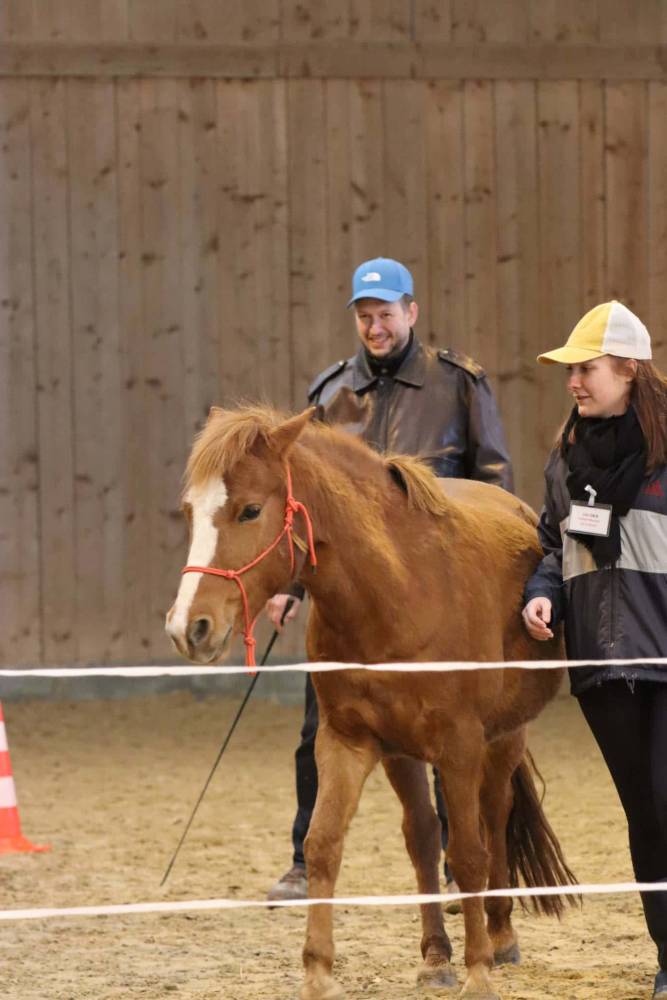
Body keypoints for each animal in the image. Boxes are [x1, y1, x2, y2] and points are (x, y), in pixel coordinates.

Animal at [166, 406, 576, 1000]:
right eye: (190, 512)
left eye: (249, 510)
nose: (187, 627)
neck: (398, 590)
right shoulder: (349, 742)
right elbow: (323, 844)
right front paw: (318, 971)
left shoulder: (460, 746)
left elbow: (469, 854)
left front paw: (477, 971)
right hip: (403, 755)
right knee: (423, 838)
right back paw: (436, 955)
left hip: (502, 741)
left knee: (493, 818)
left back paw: (499, 938)